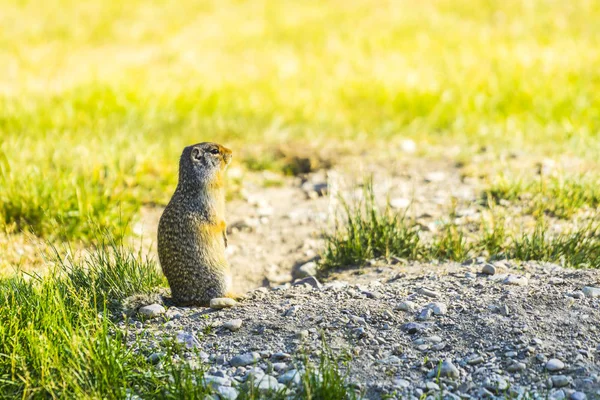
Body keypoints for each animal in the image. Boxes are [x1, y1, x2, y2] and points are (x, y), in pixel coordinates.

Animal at [158, 142, 233, 304]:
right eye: (215, 151)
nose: (231, 153)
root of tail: (178, 297)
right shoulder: (210, 203)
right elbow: (219, 221)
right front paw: (225, 237)